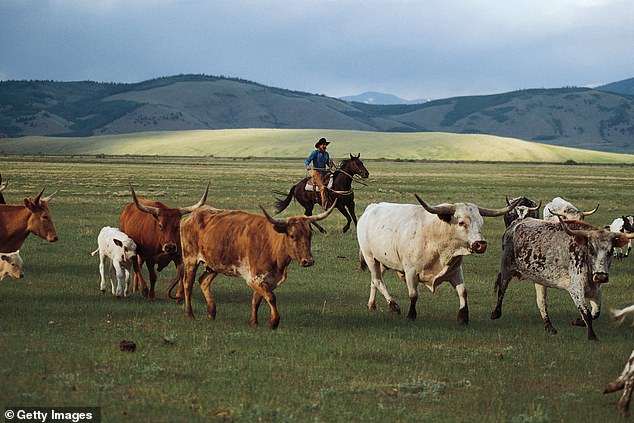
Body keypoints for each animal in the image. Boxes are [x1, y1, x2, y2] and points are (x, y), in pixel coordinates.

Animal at [179, 204, 336, 330]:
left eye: (310, 235)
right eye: (292, 235)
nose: (308, 261)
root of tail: (193, 215)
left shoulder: (267, 279)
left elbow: (257, 300)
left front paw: (254, 322)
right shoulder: (253, 278)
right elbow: (271, 297)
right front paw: (274, 322)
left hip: (214, 264)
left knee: (203, 281)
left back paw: (211, 313)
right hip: (190, 259)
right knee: (188, 284)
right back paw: (189, 314)